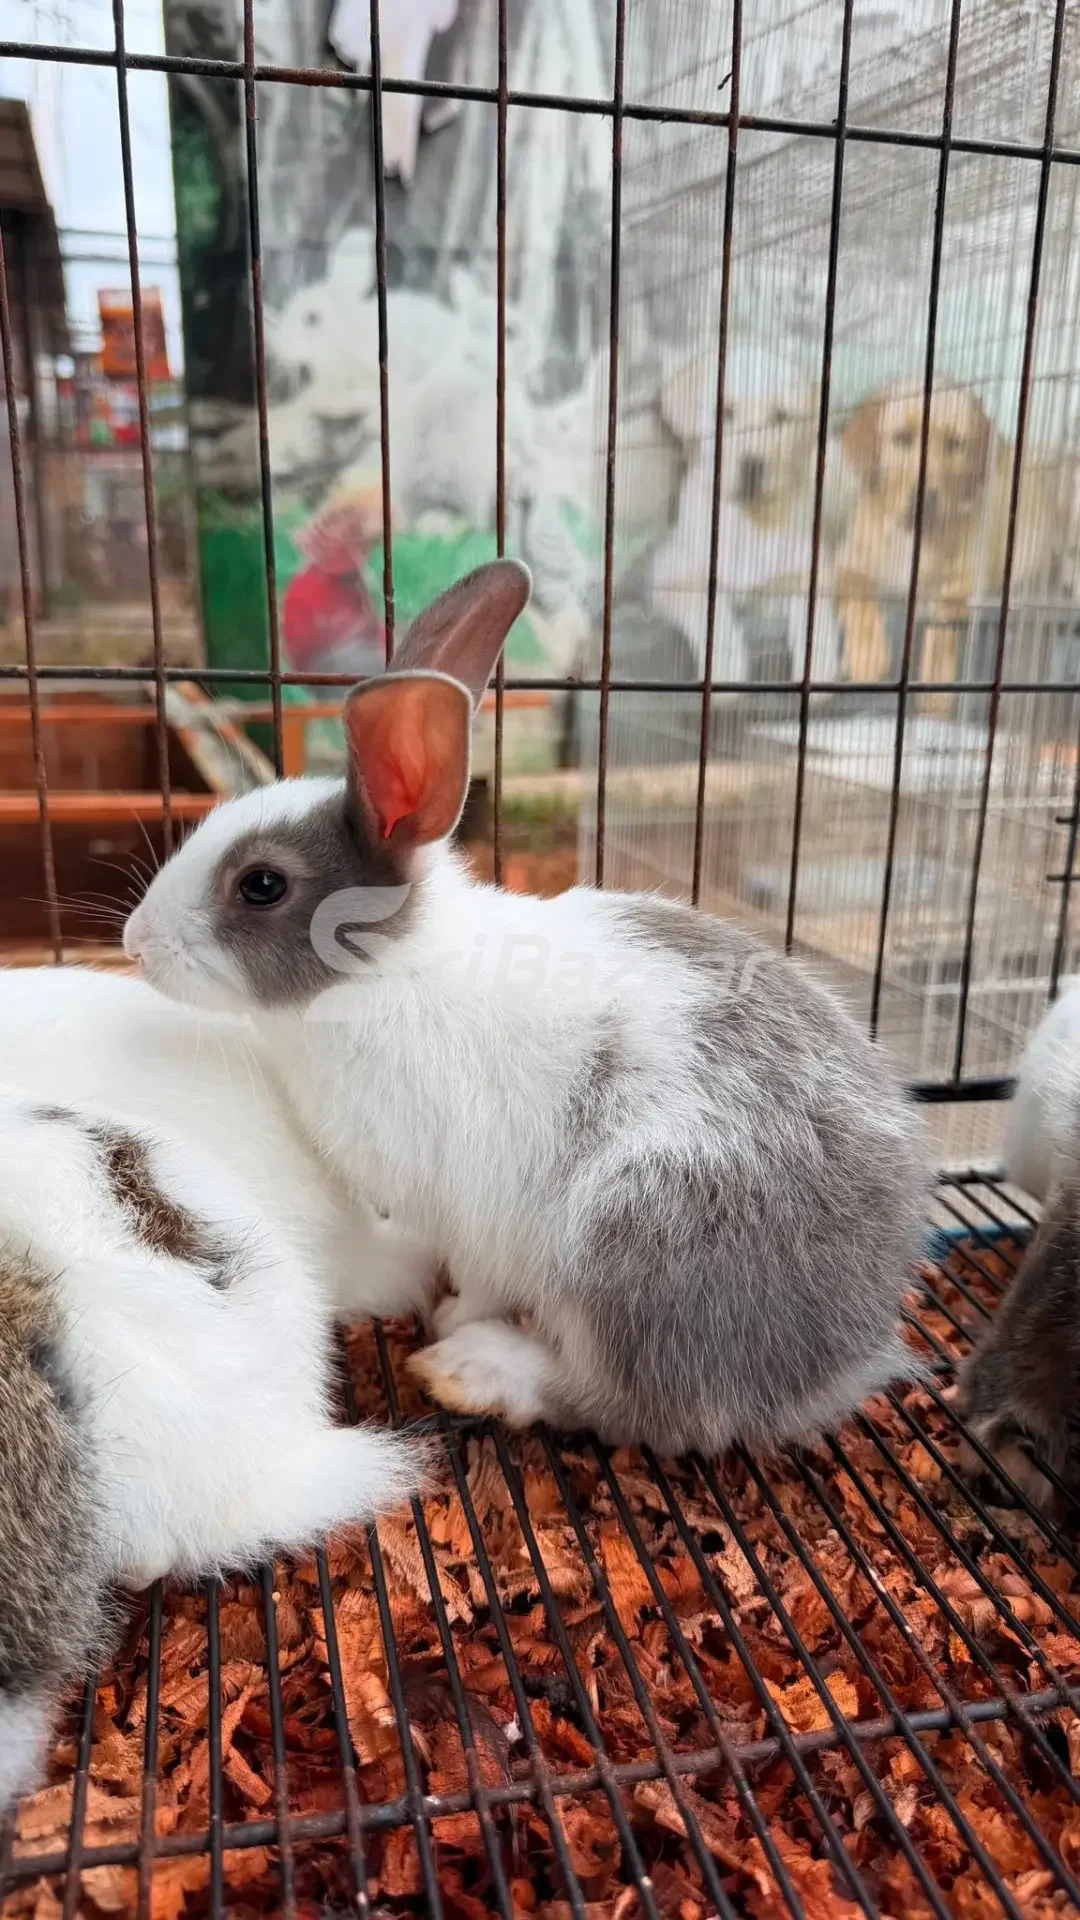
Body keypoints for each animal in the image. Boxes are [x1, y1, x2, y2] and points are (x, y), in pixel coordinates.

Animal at [122, 559, 929, 1459]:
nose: (133, 942)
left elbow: (476, 1282)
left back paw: (477, 1366)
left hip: (628, 1246)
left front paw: (448, 1316)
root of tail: (835, 1362)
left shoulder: (471, 1212)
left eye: (261, 884)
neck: (388, 972)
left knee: (631, 1402)